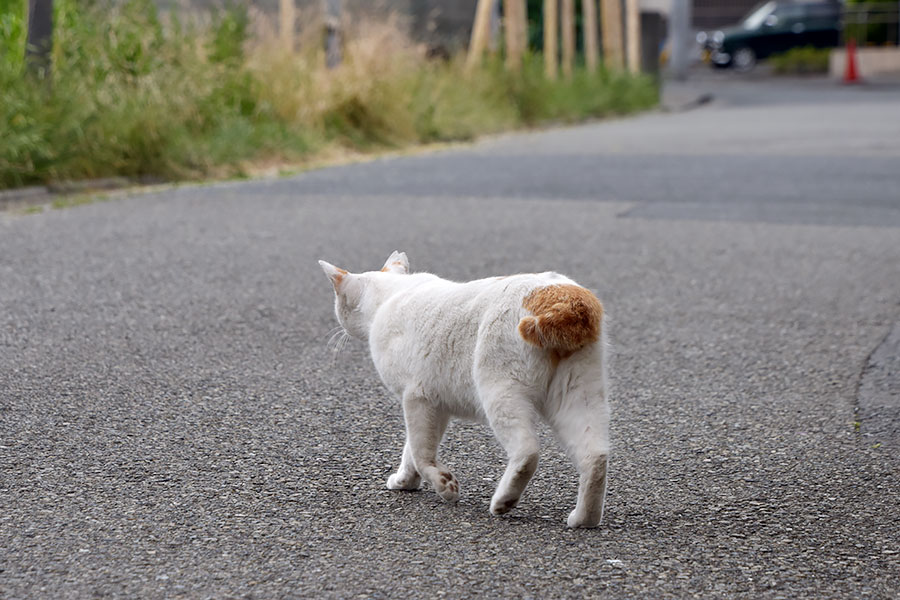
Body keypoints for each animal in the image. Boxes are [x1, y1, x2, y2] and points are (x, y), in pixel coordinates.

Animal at [318, 251, 612, 528]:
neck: (393, 293)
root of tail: (565, 295)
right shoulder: (434, 404)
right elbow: (411, 450)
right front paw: (405, 481)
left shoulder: (416, 397)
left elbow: (420, 452)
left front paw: (443, 485)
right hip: (579, 394)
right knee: (595, 457)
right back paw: (584, 519)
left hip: (499, 390)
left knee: (527, 451)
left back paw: (503, 501)